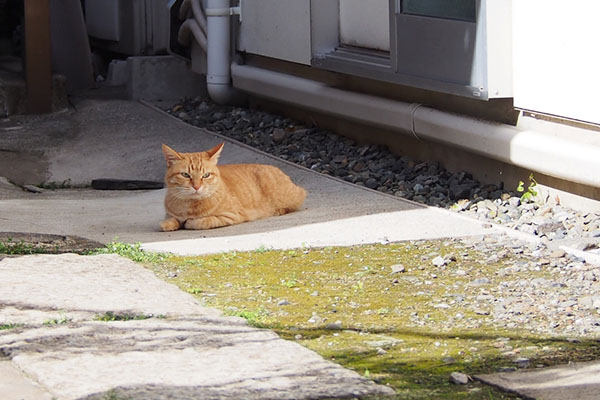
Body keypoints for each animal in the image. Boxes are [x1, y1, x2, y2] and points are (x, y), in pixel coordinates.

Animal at [161, 143, 304, 231]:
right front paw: (169, 223)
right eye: (185, 175)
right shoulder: (170, 214)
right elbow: (168, 220)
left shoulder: (230, 216)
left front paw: (189, 222)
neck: (188, 205)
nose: (196, 187)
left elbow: (202, 221)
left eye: (206, 175)